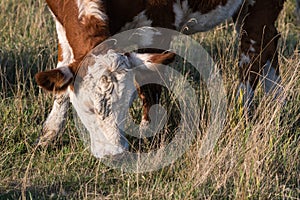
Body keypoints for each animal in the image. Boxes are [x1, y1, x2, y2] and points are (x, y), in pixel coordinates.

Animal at [35, 0, 286, 158]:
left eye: (126, 105)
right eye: (87, 109)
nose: (114, 154)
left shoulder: (160, 20)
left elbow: (151, 83)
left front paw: (150, 135)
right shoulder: (60, 23)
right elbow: (63, 75)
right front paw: (48, 135)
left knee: (252, 53)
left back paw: (243, 112)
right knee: (270, 42)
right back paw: (276, 103)